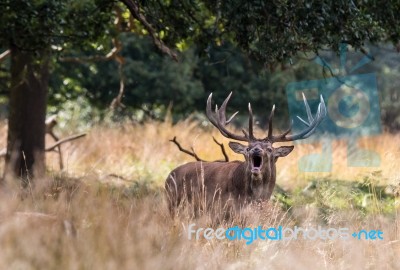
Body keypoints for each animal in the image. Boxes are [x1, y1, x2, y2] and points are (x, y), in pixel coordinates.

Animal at [165, 93, 324, 215]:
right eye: (248, 148)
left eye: (269, 149)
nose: (256, 150)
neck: (256, 198)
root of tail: (168, 176)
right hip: (173, 205)